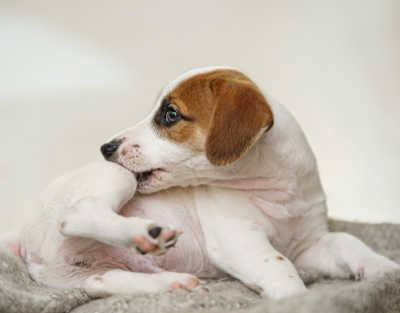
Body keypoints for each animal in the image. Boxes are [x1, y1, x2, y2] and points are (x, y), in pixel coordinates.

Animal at [1, 67, 398, 298]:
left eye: (170, 114)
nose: (106, 147)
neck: (276, 191)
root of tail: (24, 234)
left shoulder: (310, 245)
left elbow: (349, 242)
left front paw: (383, 271)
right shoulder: (239, 240)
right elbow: (280, 268)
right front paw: (298, 299)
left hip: (80, 276)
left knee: (103, 283)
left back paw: (171, 282)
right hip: (115, 178)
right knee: (77, 214)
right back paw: (146, 233)